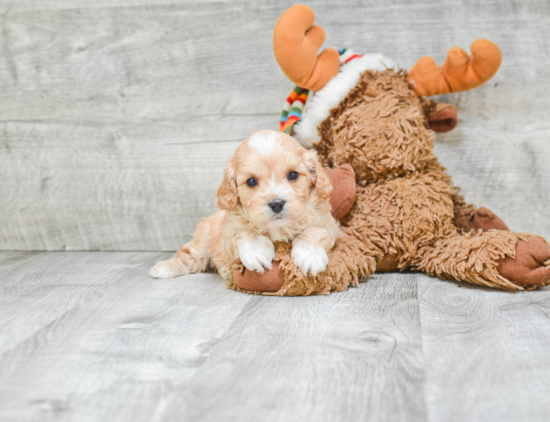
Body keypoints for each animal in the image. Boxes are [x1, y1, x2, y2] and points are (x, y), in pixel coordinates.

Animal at [151, 129, 340, 280]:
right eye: (251, 181)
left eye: (293, 175)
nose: (276, 204)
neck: (278, 228)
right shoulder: (228, 233)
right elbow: (244, 234)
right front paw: (257, 252)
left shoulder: (330, 226)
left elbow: (314, 232)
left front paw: (310, 255)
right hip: (204, 238)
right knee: (189, 254)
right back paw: (165, 267)